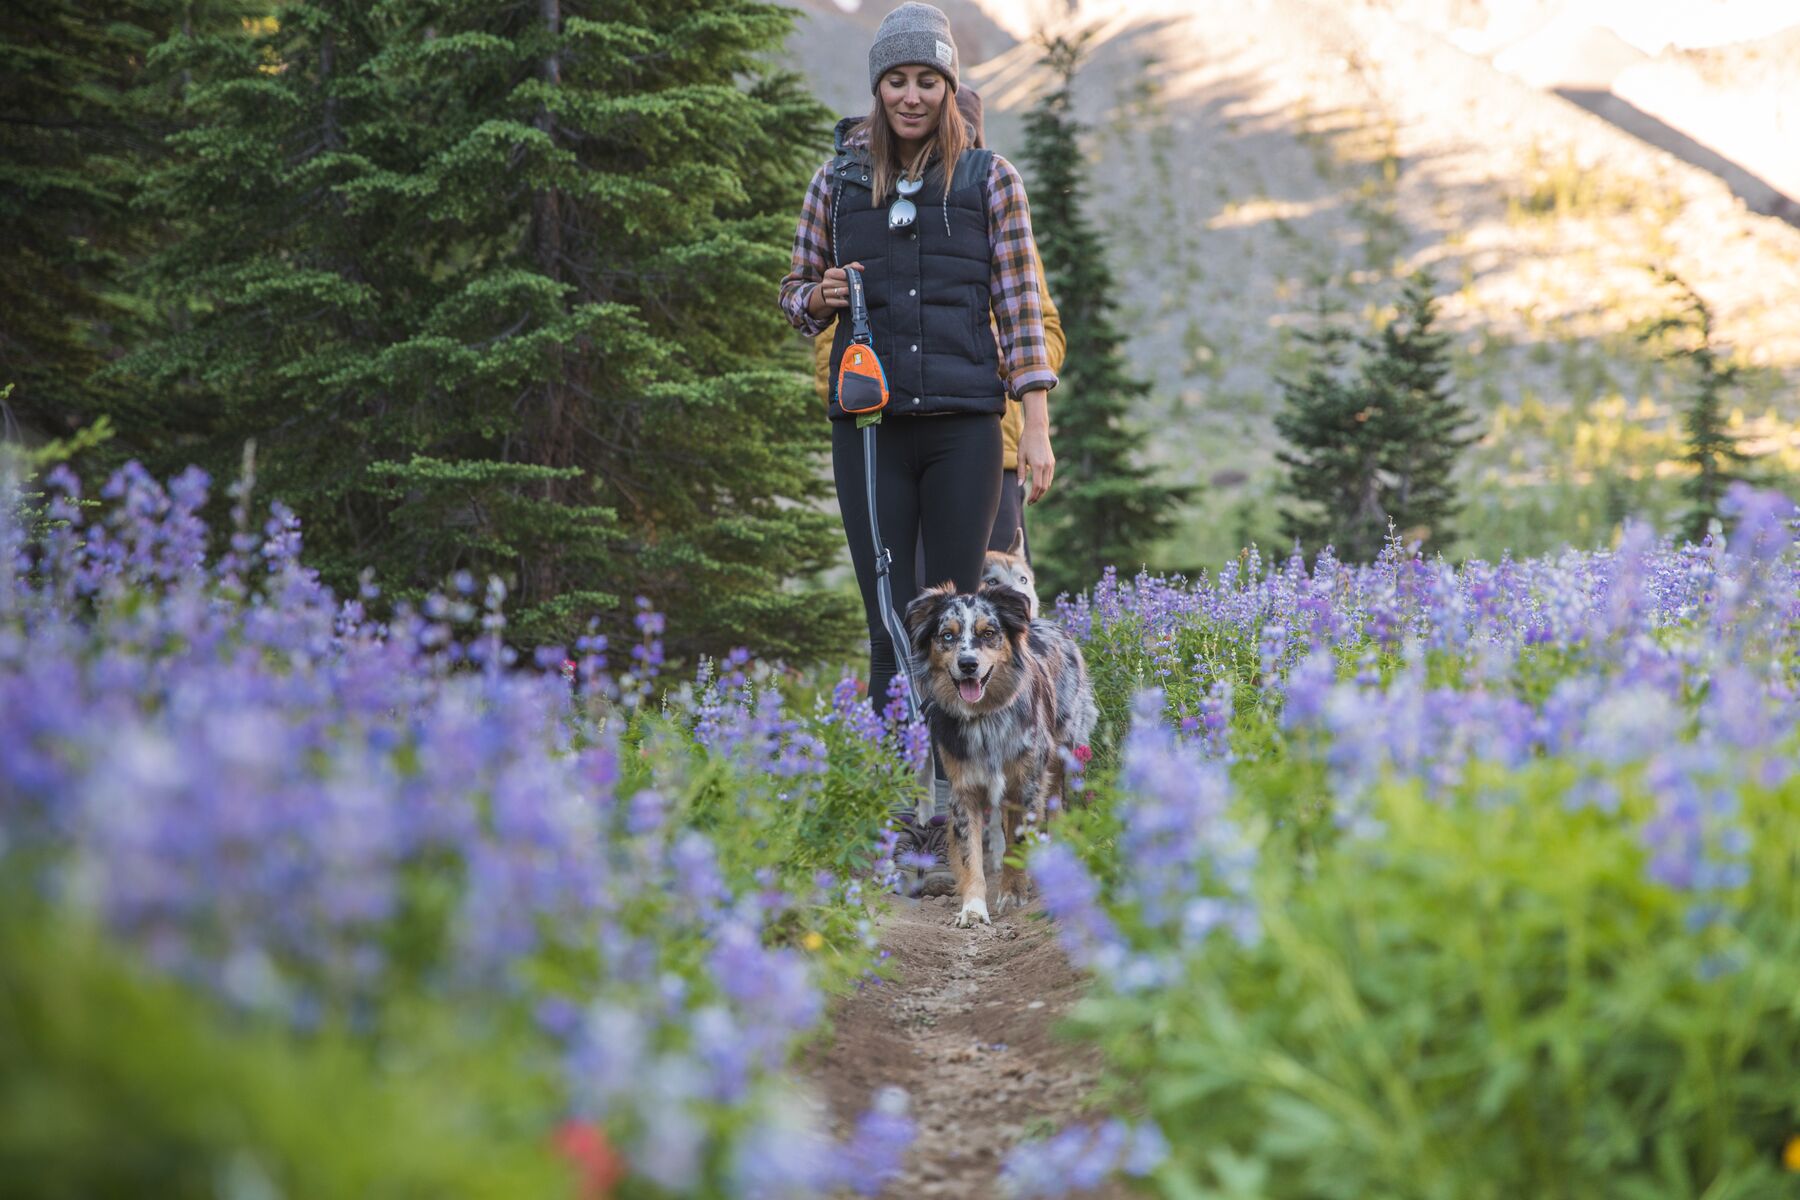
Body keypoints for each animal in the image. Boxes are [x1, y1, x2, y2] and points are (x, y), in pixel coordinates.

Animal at [900, 582, 1094, 928]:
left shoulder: (1026, 783)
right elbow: (970, 854)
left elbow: (1018, 840)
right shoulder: (965, 788)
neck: (984, 718)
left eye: (988, 633)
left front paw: (1013, 894)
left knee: (1057, 805)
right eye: (946, 636)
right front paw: (974, 909)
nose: (968, 664)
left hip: (1064, 752)